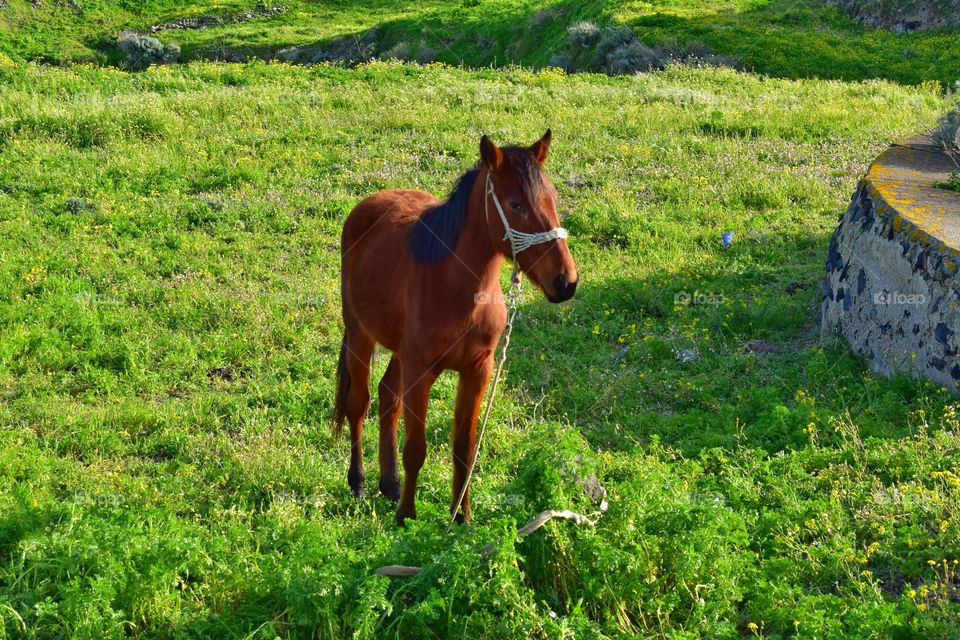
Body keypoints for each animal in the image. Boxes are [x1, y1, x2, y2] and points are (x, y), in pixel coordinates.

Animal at [333, 130, 578, 525]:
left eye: (552, 199)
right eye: (515, 204)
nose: (565, 281)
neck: (460, 290)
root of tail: (369, 203)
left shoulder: (477, 370)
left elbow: (464, 446)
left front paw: (460, 517)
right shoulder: (421, 371)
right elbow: (416, 447)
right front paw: (406, 517)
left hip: (401, 352)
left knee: (388, 396)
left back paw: (390, 483)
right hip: (360, 333)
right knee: (359, 403)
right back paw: (358, 482)